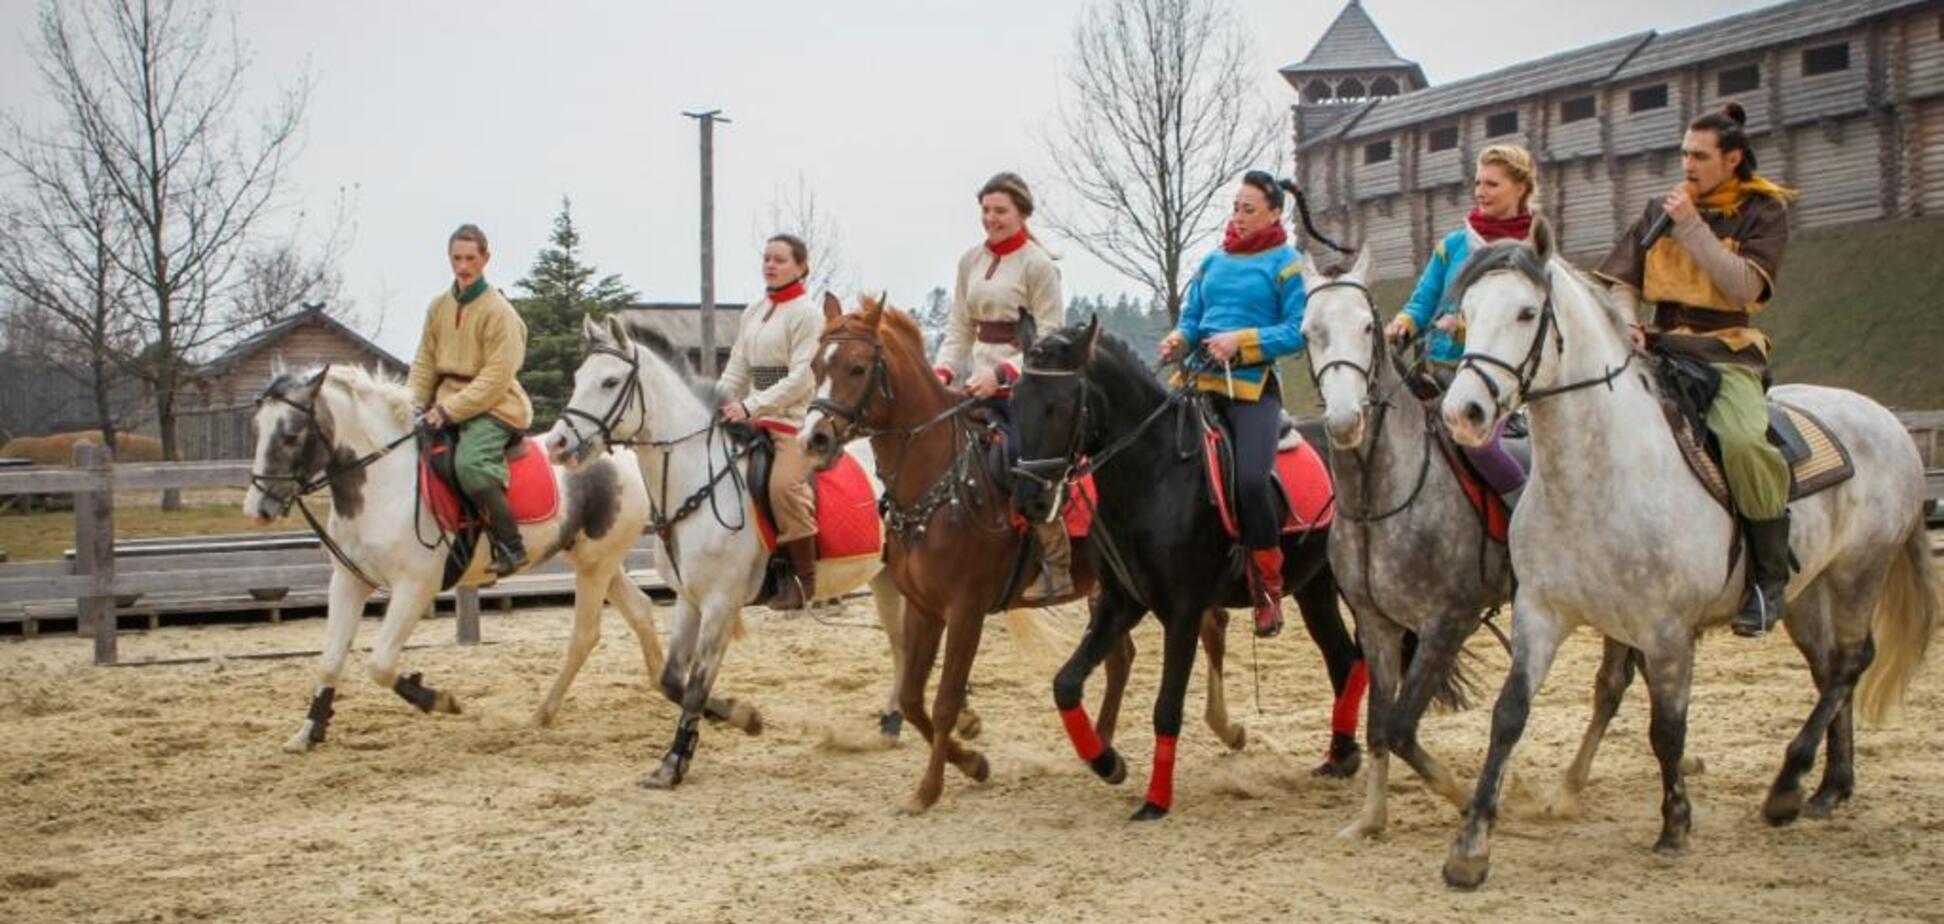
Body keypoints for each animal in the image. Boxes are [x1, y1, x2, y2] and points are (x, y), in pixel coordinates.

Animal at [241, 361, 699, 750]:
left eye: (291, 434)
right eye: (257, 429)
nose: (258, 509)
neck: (382, 483)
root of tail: (624, 456)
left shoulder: (414, 588)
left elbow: (381, 664)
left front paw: (437, 698)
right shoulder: (349, 581)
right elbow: (331, 660)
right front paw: (309, 731)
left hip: (595, 565)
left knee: (586, 634)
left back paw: (545, 711)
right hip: (595, 561)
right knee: (639, 610)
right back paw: (667, 688)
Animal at [1010, 315, 1360, 820]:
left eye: (1060, 405)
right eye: (1016, 401)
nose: (1029, 500)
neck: (1154, 477)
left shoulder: (1183, 611)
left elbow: (1166, 706)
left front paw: (1155, 800)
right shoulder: (1120, 604)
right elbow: (1065, 684)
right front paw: (1107, 762)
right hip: (1315, 588)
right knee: (1344, 659)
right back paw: (1341, 756)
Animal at [1438, 222, 1936, 890]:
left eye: (1525, 312)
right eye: (1466, 314)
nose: (1463, 413)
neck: (1597, 476)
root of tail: (1886, 420)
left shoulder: (1667, 632)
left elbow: (1666, 729)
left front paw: (1675, 826)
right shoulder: (1542, 614)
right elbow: (1509, 714)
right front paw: (1469, 850)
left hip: (1860, 572)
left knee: (1851, 663)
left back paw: (1788, 786)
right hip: (1809, 595)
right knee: (1831, 667)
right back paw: (1829, 787)